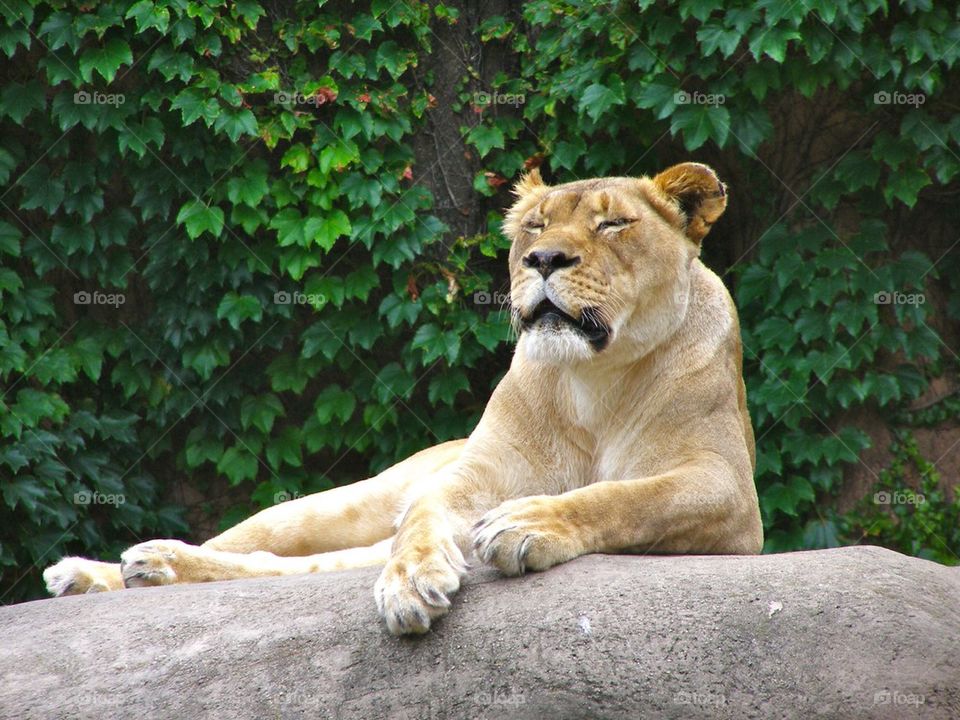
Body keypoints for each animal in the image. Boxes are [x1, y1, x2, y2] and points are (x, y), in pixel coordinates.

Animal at [43, 162, 763, 635]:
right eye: (534, 227)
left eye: (614, 223)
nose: (544, 260)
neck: (593, 381)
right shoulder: (473, 475)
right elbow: (425, 516)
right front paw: (412, 578)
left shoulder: (727, 490)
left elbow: (625, 496)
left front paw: (528, 523)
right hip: (333, 503)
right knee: (258, 542)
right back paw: (106, 569)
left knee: (280, 567)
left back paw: (152, 568)